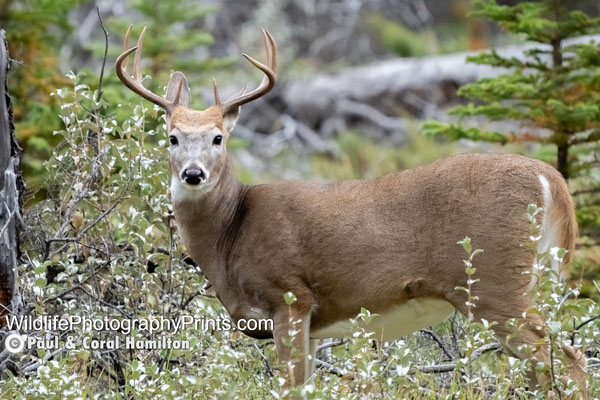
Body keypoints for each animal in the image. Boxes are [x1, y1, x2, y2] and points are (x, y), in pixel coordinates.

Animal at [117, 27, 584, 394]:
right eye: (173, 137)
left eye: (218, 138)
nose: (193, 174)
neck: (230, 235)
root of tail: (551, 178)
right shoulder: (314, 324)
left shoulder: (289, 294)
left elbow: (289, 387)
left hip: (494, 281)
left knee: (565, 359)